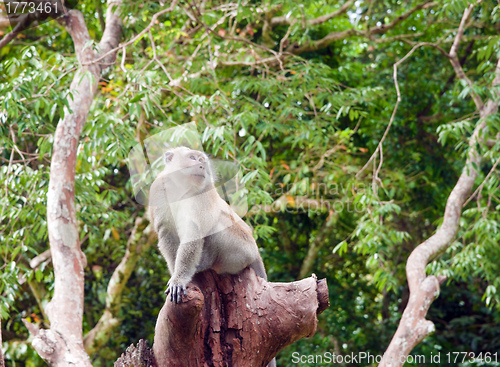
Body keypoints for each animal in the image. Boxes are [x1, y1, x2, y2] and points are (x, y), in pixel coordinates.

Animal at [147, 147, 268, 304]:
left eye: (202, 160)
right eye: (192, 158)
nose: (202, 165)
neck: (181, 187)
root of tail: (256, 252)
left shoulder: (203, 192)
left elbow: (194, 232)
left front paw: (179, 279)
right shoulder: (159, 188)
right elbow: (167, 231)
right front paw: (175, 275)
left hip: (243, 250)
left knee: (216, 224)